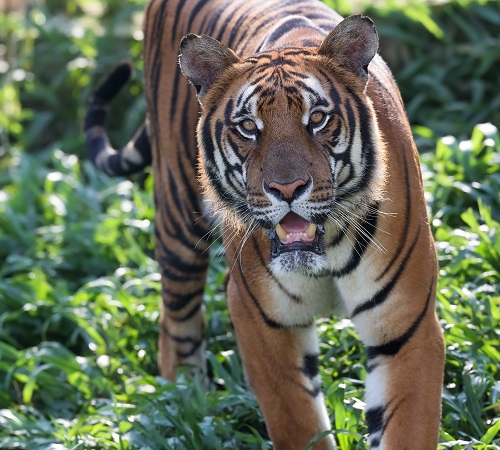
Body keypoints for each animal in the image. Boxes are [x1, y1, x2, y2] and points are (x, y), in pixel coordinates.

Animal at [83, 0, 446, 448]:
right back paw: (185, 407)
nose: (286, 188)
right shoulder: (261, 318)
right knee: (175, 325)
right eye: (248, 127)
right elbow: (298, 423)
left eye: (318, 118)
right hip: (177, 217)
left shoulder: (406, 329)